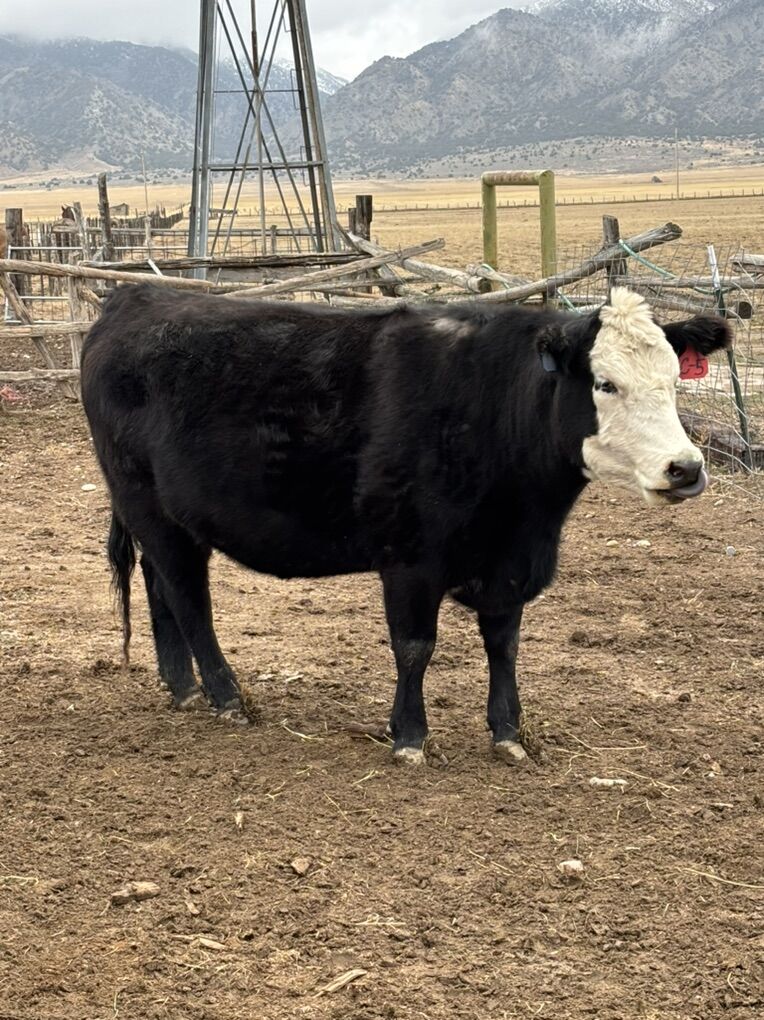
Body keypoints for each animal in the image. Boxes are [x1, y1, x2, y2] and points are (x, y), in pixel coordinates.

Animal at [80, 285, 730, 765]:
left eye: (674, 380)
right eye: (604, 383)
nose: (686, 467)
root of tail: (134, 297)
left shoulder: (507, 563)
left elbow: (504, 644)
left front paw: (508, 733)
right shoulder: (410, 560)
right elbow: (415, 646)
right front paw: (410, 736)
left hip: (164, 520)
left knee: (160, 587)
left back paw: (183, 688)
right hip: (151, 509)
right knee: (188, 598)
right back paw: (226, 696)